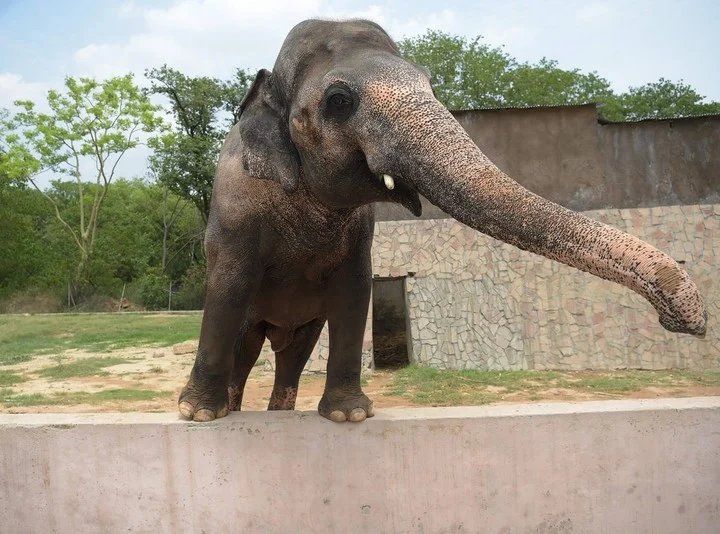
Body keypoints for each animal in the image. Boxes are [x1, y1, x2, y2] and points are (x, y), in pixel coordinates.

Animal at [178, 18, 707, 423]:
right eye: (339, 101)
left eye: (431, 84)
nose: (687, 323)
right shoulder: (235, 208)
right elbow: (229, 284)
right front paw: (197, 415)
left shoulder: (360, 230)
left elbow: (354, 290)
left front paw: (350, 415)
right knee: (247, 346)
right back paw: (227, 409)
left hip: (300, 332)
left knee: (293, 354)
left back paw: (278, 414)